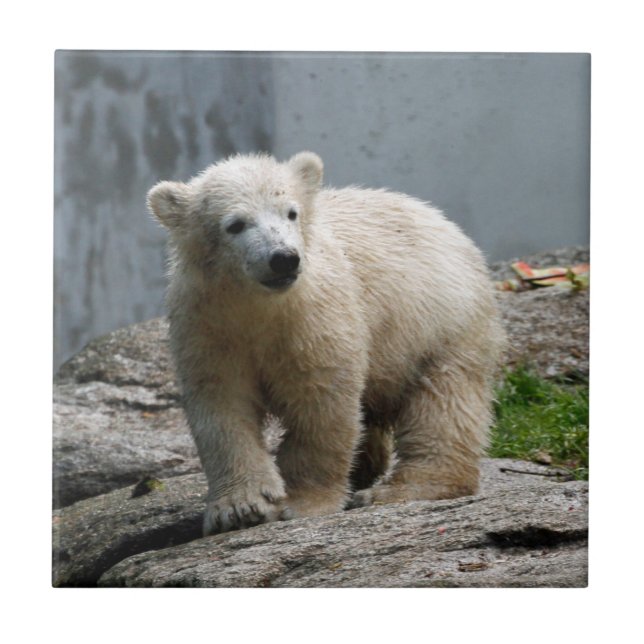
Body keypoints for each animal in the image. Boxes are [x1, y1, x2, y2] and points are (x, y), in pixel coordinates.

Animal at [147, 151, 505, 536]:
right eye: (236, 224)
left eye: (291, 212)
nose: (283, 258)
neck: (261, 306)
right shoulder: (209, 327)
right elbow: (222, 408)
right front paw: (240, 508)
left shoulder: (316, 319)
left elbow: (320, 402)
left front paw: (301, 502)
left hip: (441, 321)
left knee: (444, 402)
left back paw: (400, 488)